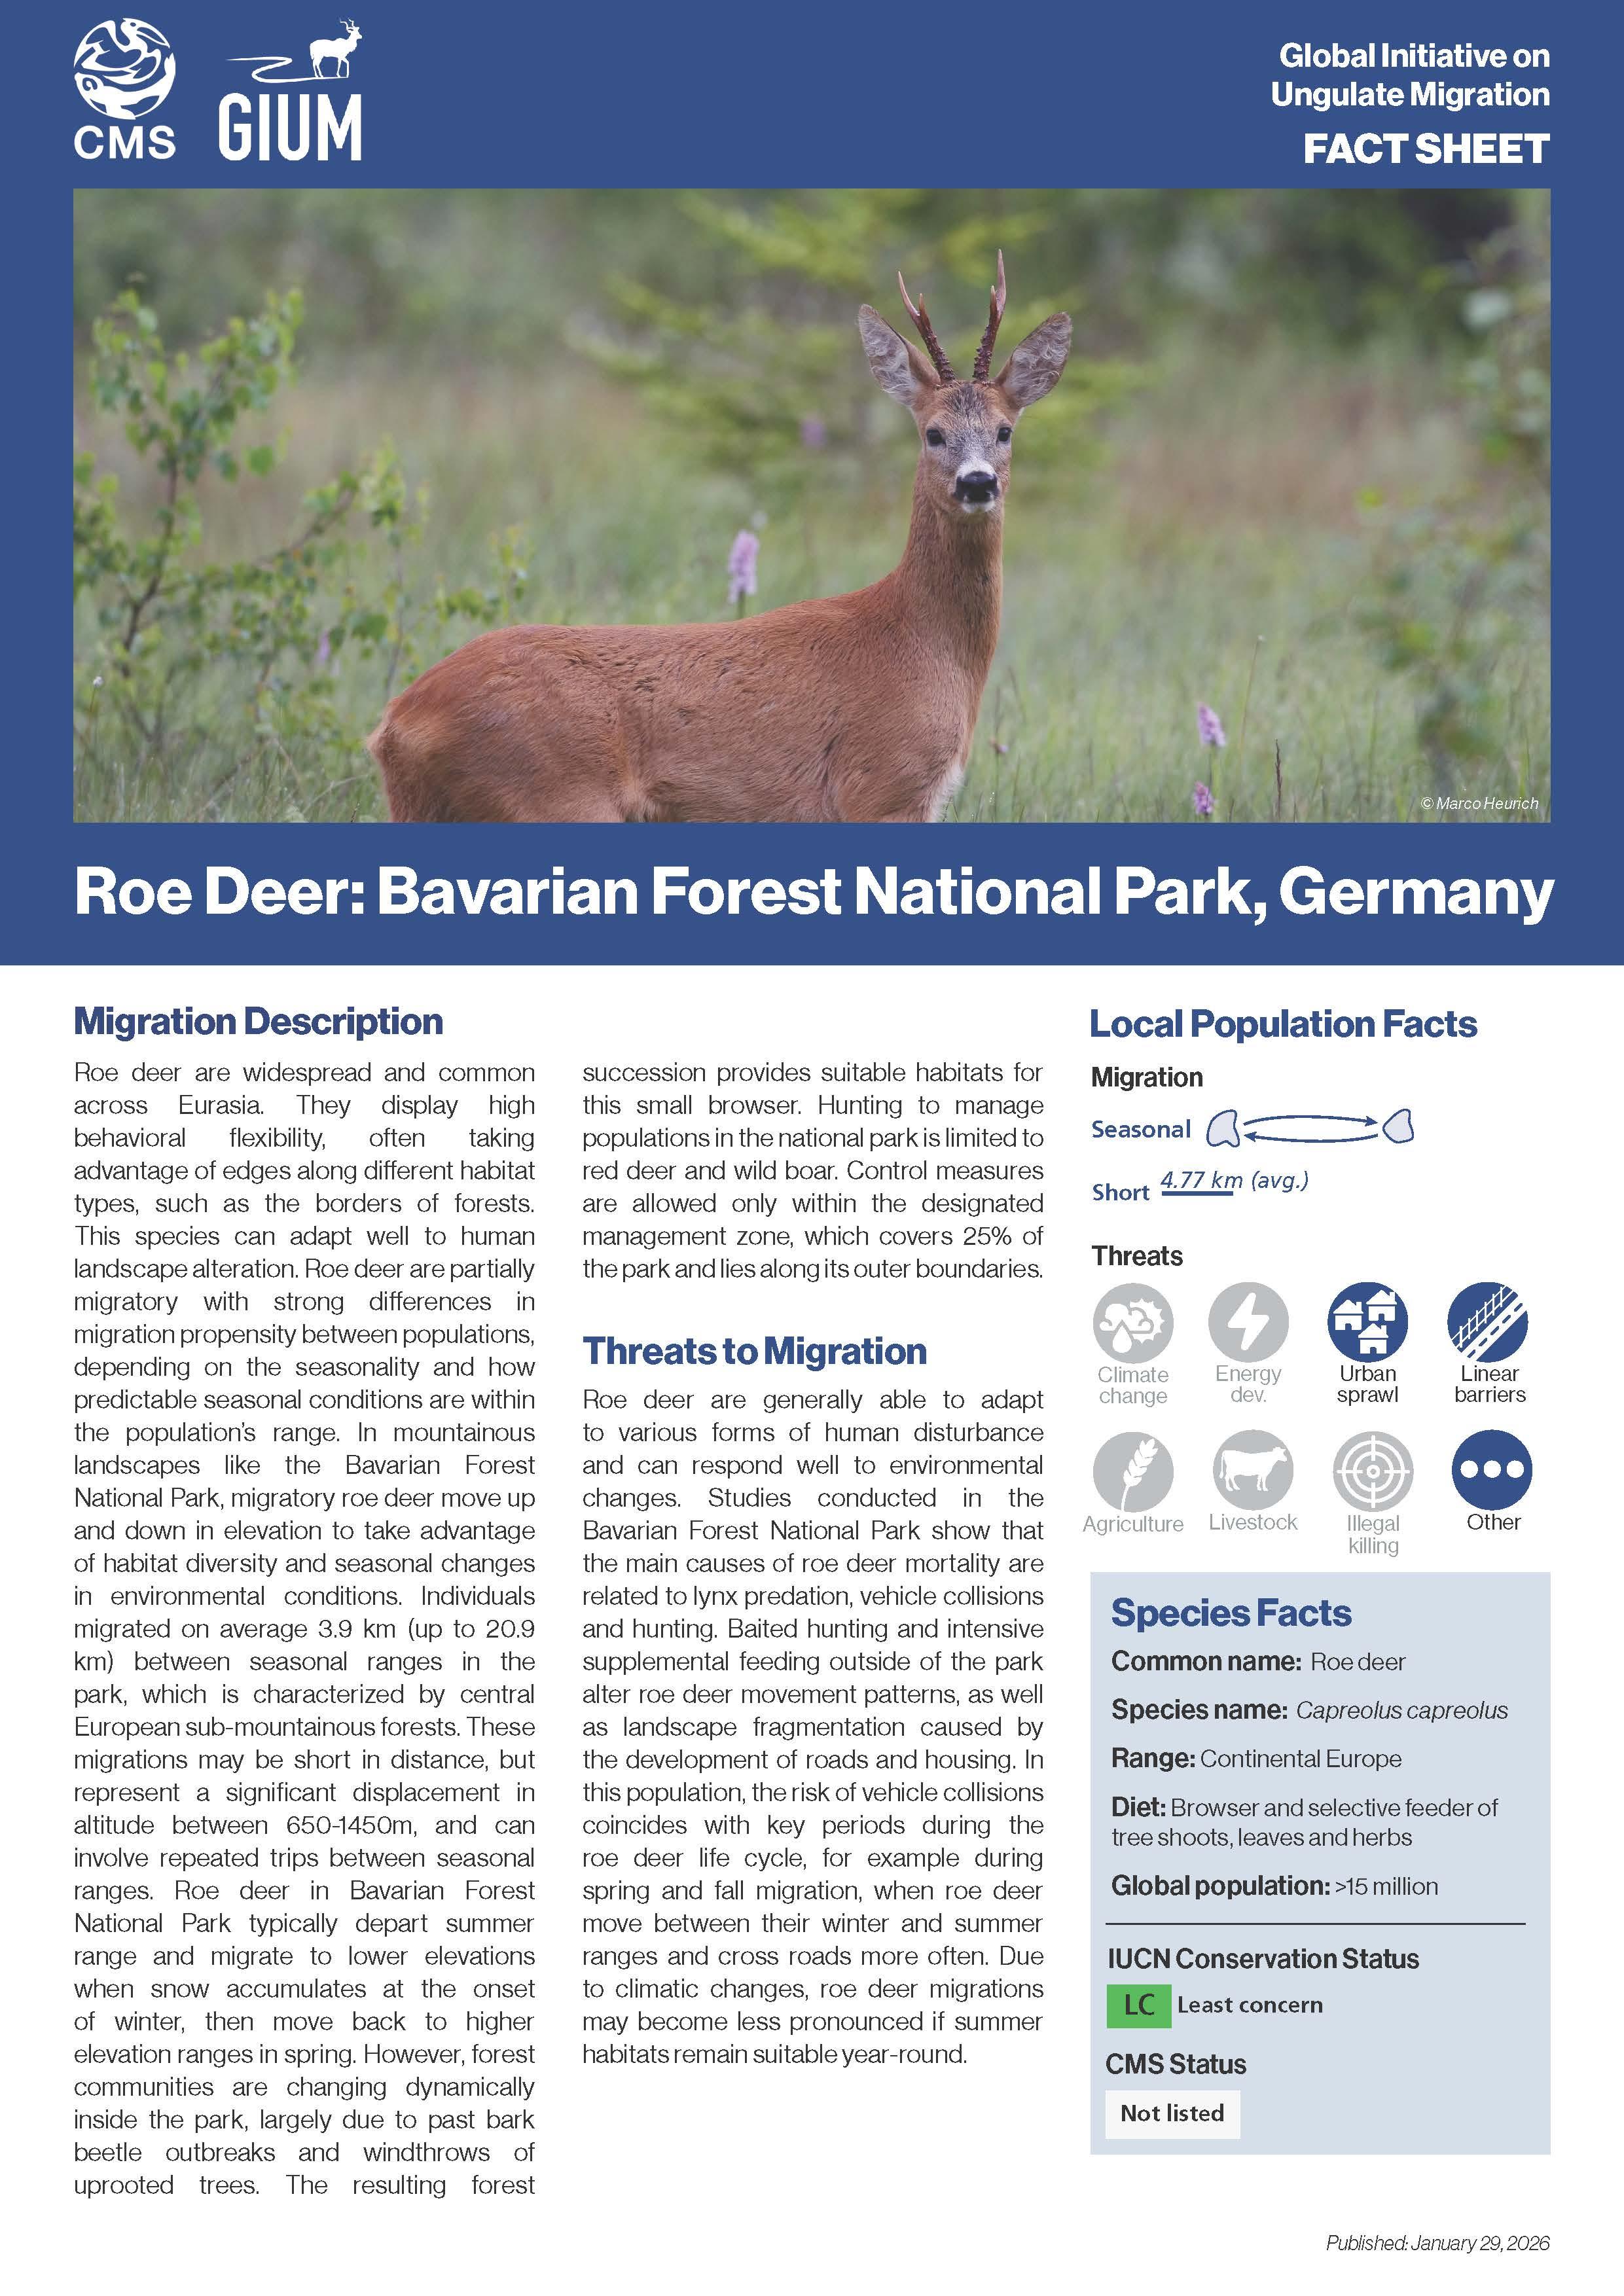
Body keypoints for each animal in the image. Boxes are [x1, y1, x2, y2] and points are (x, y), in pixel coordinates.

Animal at [367, 256, 1070, 821]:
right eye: (932, 433)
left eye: (1005, 430)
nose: (976, 483)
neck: (923, 640)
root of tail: (394, 724)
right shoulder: (883, 784)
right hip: (548, 795)